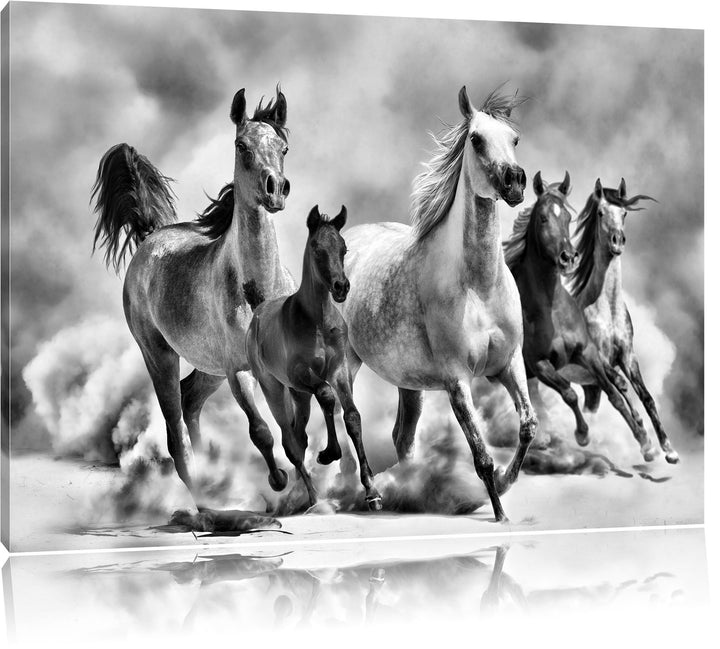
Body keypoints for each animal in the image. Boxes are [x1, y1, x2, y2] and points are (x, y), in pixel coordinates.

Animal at [91, 86, 295, 501]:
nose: (275, 189)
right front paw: (280, 481)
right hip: (161, 357)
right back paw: (206, 499)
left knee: (190, 402)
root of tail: (152, 236)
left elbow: (295, 429)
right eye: (241, 146)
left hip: (208, 366)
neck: (258, 290)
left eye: (283, 147)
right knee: (176, 432)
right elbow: (262, 432)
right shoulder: (240, 371)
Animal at [244, 205, 382, 510]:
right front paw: (329, 453)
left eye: (343, 248)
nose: (341, 287)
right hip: (274, 388)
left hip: (298, 395)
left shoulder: (339, 369)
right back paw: (313, 498)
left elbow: (352, 416)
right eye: (317, 248)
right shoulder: (301, 373)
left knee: (299, 434)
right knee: (290, 442)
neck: (318, 321)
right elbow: (327, 395)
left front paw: (372, 491)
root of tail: (258, 311)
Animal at [339, 86, 537, 523]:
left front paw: (505, 482)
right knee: (353, 419)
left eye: (514, 139)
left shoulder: (509, 362)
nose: (515, 182)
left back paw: (412, 493)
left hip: (408, 383)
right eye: (476, 139)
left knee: (403, 437)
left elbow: (528, 427)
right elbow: (481, 455)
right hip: (344, 363)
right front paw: (499, 513)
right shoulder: (456, 379)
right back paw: (375, 494)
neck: (478, 287)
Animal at [503, 171, 655, 462]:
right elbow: (569, 393)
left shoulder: (589, 354)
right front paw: (582, 434)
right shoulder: (541, 364)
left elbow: (615, 393)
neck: (551, 309)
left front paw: (646, 441)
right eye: (543, 217)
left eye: (567, 218)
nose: (568, 257)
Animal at [569, 179, 679, 463]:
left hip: (590, 384)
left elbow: (646, 396)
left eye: (625, 213)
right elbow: (621, 387)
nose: (618, 241)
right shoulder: (599, 358)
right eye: (600, 213)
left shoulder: (628, 356)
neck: (606, 310)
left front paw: (668, 449)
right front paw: (646, 443)